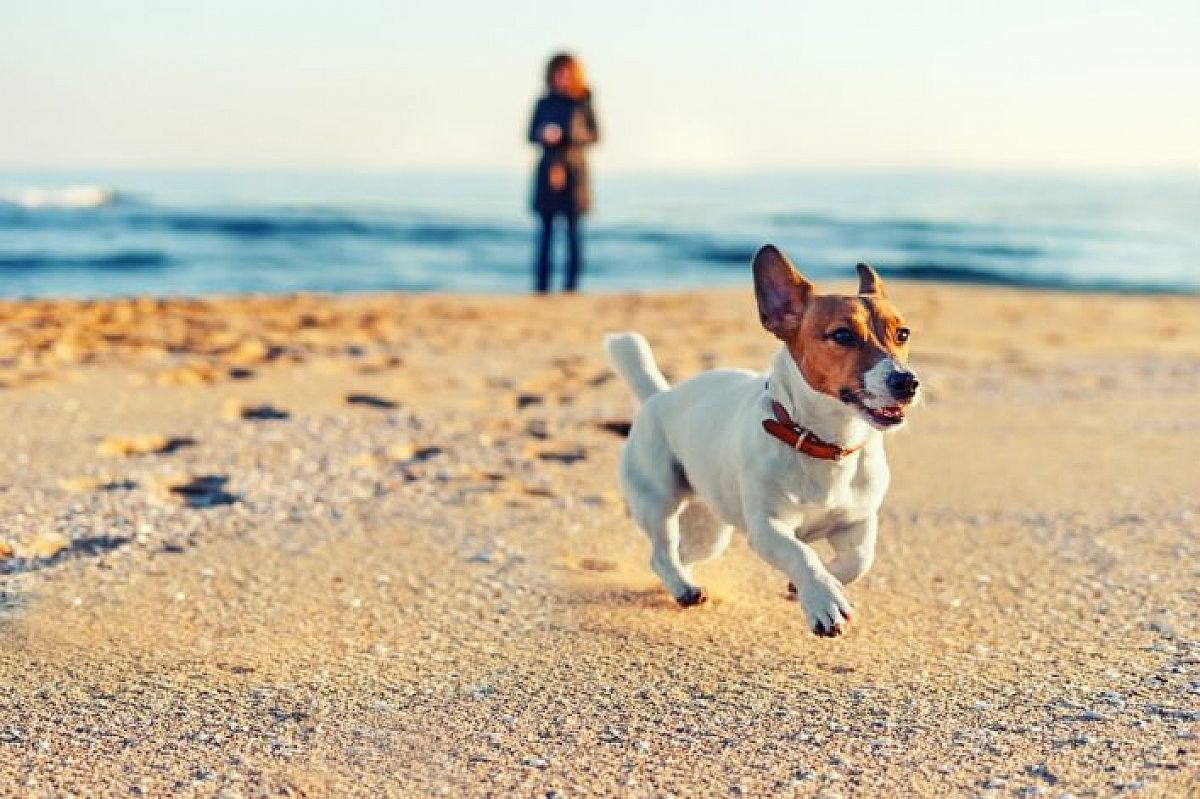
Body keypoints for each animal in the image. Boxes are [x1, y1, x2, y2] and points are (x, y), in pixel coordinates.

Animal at [604, 242, 921, 633]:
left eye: (903, 334)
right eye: (843, 335)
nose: (907, 382)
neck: (825, 444)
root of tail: (658, 396)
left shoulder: (857, 522)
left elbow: (861, 558)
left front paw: (813, 584)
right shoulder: (768, 527)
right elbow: (801, 552)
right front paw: (823, 598)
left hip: (712, 528)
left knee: (681, 553)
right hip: (657, 499)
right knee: (661, 552)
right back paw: (683, 588)